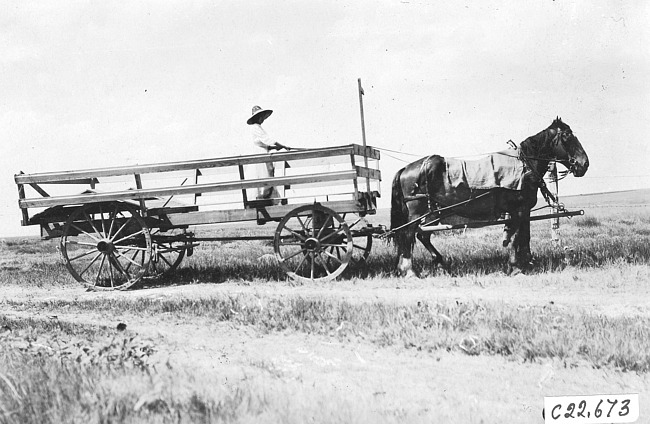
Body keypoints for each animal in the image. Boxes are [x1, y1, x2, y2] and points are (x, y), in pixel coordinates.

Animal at [390, 117, 588, 276]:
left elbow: (524, 237)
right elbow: (516, 237)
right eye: (567, 136)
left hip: (434, 213)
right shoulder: (518, 210)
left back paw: (440, 264)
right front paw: (515, 267)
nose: (584, 164)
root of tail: (406, 169)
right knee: (408, 234)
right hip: (418, 212)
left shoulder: (524, 211)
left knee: (422, 235)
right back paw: (409, 271)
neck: (525, 166)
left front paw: (527, 262)